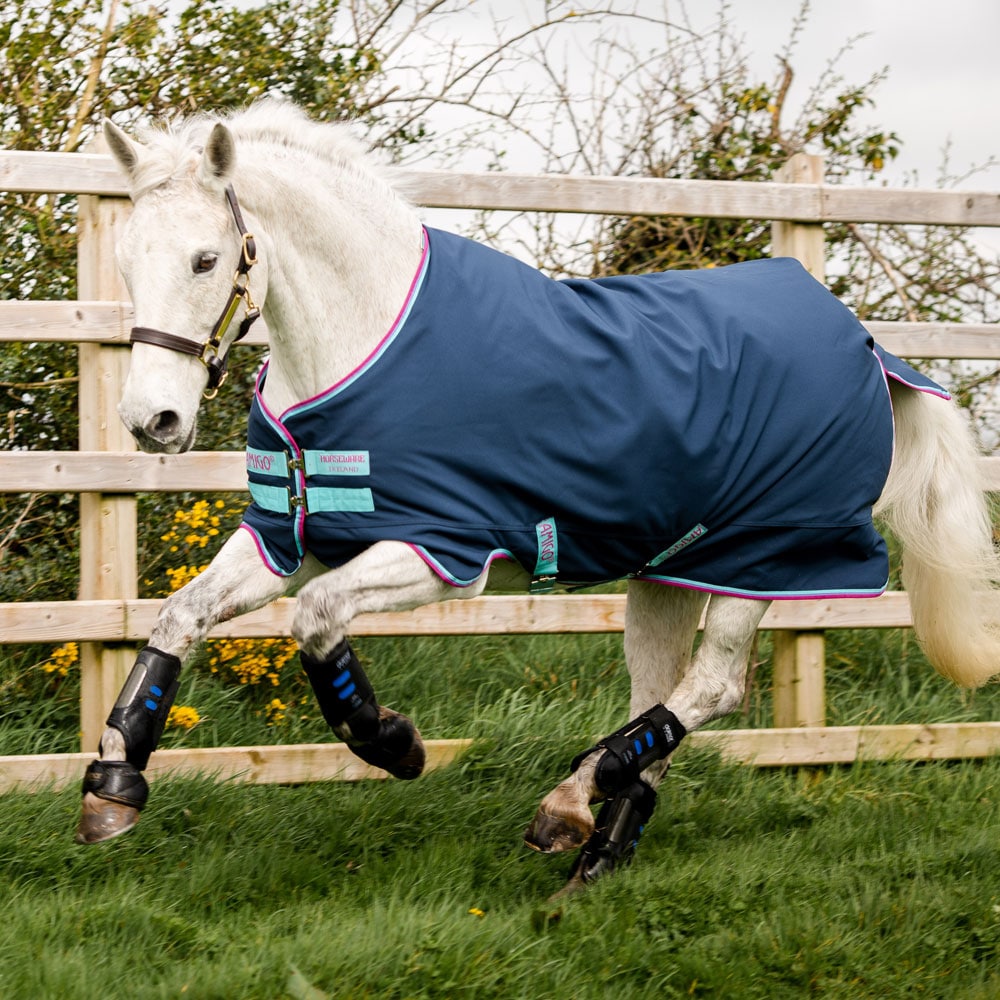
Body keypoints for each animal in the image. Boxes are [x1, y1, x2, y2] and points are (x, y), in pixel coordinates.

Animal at [79, 101, 1000, 892]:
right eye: (126, 260)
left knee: (711, 688)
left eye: (206, 259)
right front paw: (112, 785)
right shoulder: (286, 536)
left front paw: (393, 743)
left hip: (764, 559)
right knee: (662, 693)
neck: (364, 344)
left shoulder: (442, 553)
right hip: (670, 571)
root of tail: (871, 347)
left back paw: (573, 797)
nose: (152, 420)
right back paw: (595, 840)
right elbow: (178, 616)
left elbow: (317, 619)